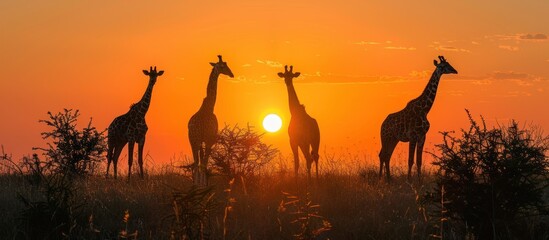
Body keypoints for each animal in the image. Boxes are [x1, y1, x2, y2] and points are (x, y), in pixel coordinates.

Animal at [188, 54, 233, 186]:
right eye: (223, 66)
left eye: (226, 64)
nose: (232, 74)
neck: (209, 107)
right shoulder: (210, 139)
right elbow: (204, 163)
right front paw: (203, 185)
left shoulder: (202, 141)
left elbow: (201, 162)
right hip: (199, 140)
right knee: (200, 163)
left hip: (192, 140)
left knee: (196, 163)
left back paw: (196, 185)